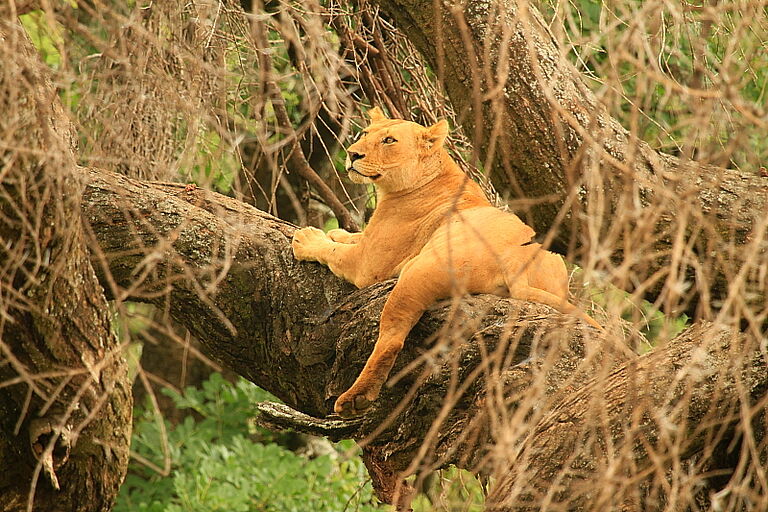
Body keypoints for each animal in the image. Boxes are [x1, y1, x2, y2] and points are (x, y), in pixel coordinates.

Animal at [292, 107, 596, 416]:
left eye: (389, 140)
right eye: (365, 134)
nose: (352, 154)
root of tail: (516, 259)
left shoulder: (369, 264)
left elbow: (334, 252)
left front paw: (308, 239)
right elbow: (354, 237)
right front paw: (338, 232)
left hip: (416, 271)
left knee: (391, 337)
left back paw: (356, 397)